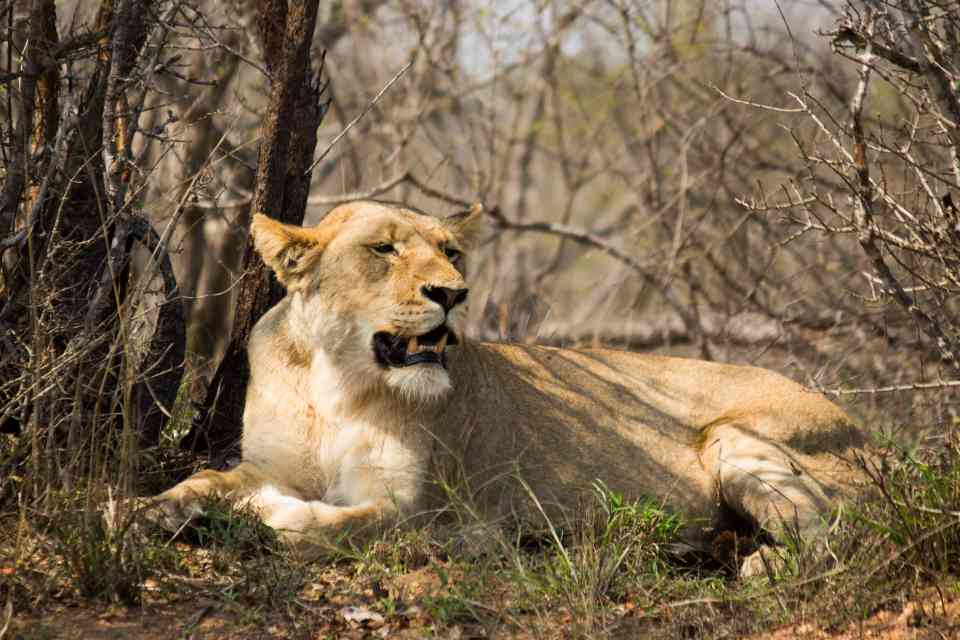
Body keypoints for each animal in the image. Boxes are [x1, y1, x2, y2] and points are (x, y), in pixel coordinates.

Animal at [153, 200, 865, 576]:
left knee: (844, 533)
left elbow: (334, 528)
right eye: (383, 249)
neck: (338, 381)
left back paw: (762, 563)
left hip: (735, 440)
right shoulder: (268, 461)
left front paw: (271, 515)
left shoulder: (412, 508)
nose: (453, 293)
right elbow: (201, 481)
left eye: (451, 252)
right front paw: (143, 511)